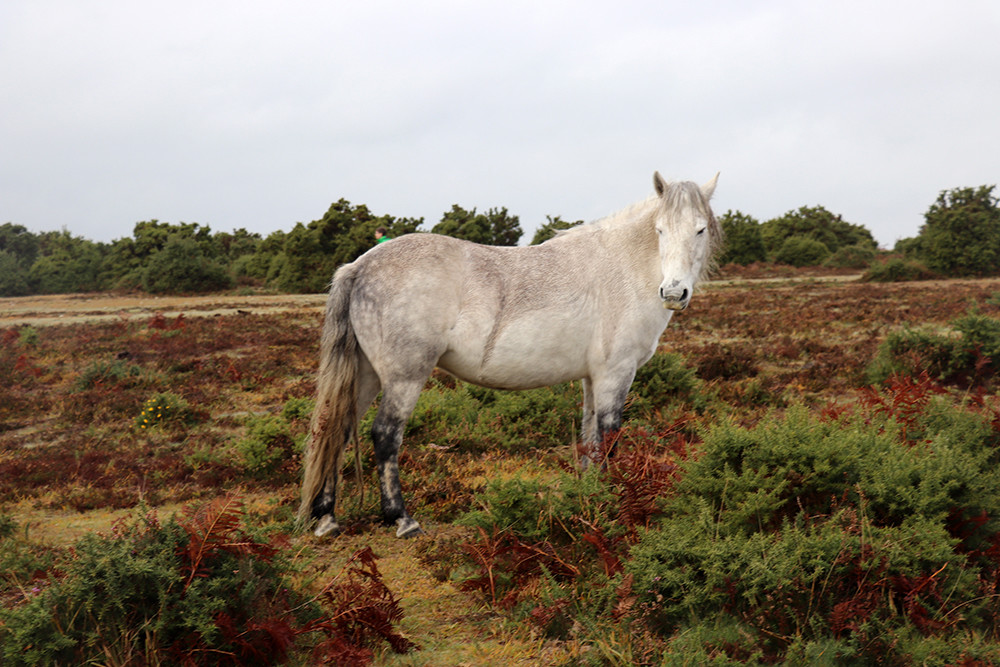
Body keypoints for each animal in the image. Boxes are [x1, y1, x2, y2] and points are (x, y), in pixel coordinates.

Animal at [299, 171, 722, 538]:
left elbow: (589, 440)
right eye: (660, 230)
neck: (623, 268)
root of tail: (360, 265)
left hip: (368, 375)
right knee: (385, 435)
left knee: (338, 429)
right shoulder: (616, 374)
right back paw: (401, 519)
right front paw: (611, 498)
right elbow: (609, 436)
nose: (673, 293)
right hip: (404, 377)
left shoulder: (593, 377)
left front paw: (588, 495)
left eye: (700, 229)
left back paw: (326, 517)